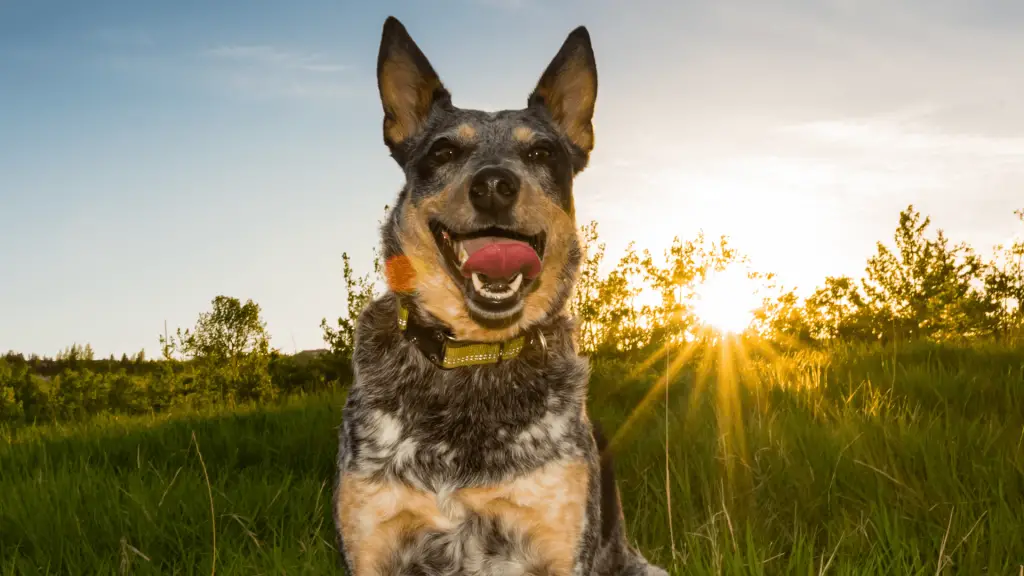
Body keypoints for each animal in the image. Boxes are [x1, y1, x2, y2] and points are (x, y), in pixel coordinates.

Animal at [333, 15, 671, 569]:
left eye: (541, 152)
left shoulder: (560, 540)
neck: (475, 357)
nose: (493, 185)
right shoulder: (371, 542)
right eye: (443, 151)